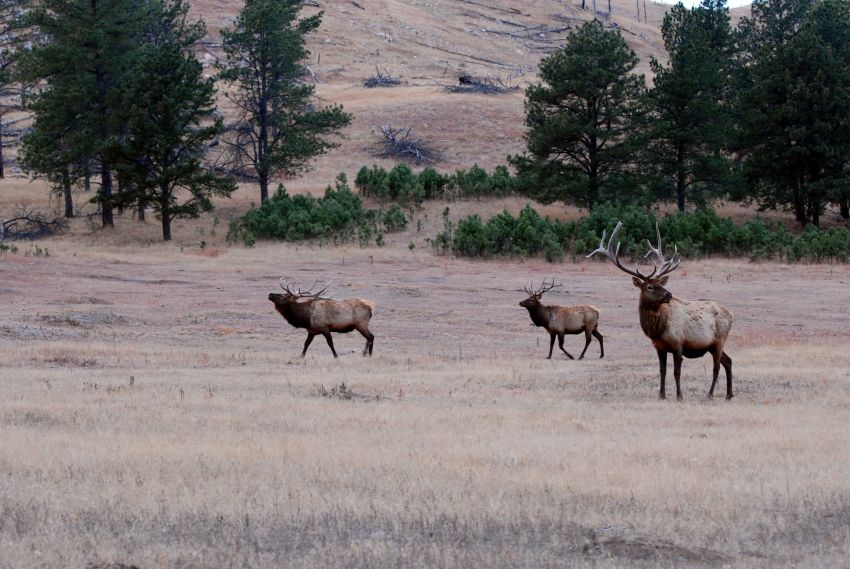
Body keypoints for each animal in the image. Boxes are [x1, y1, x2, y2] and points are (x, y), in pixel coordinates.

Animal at [588, 222, 732, 400]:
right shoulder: (659, 347)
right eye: (650, 286)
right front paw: (662, 395)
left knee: (717, 367)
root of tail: (731, 314)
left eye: (660, 283)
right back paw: (729, 394)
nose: (669, 294)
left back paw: (710, 394)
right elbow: (662, 371)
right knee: (728, 361)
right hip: (713, 345)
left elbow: (677, 372)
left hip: (719, 339)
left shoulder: (678, 343)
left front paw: (679, 396)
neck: (657, 329)